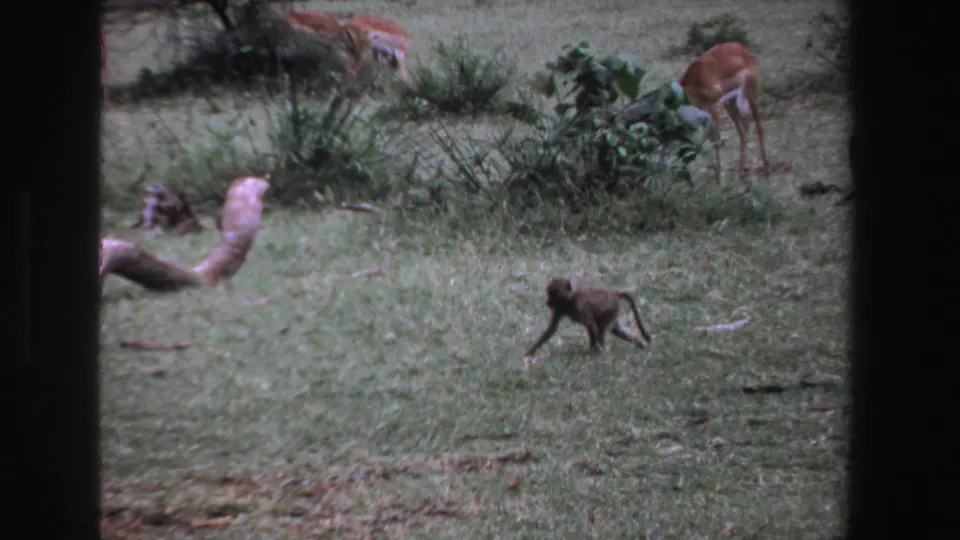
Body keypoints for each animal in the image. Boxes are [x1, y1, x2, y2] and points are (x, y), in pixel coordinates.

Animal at [524, 277, 652, 357]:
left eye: (552, 293)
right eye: (549, 293)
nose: (547, 302)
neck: (568, 300)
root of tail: (614, 294)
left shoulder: (579, 305)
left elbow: (592, 325)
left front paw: (594, 354)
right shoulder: (559, 309)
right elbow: (551, 330)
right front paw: (529, 354)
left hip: (610, 310)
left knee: (600, 329)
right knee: (616, 330)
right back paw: (639, 344)